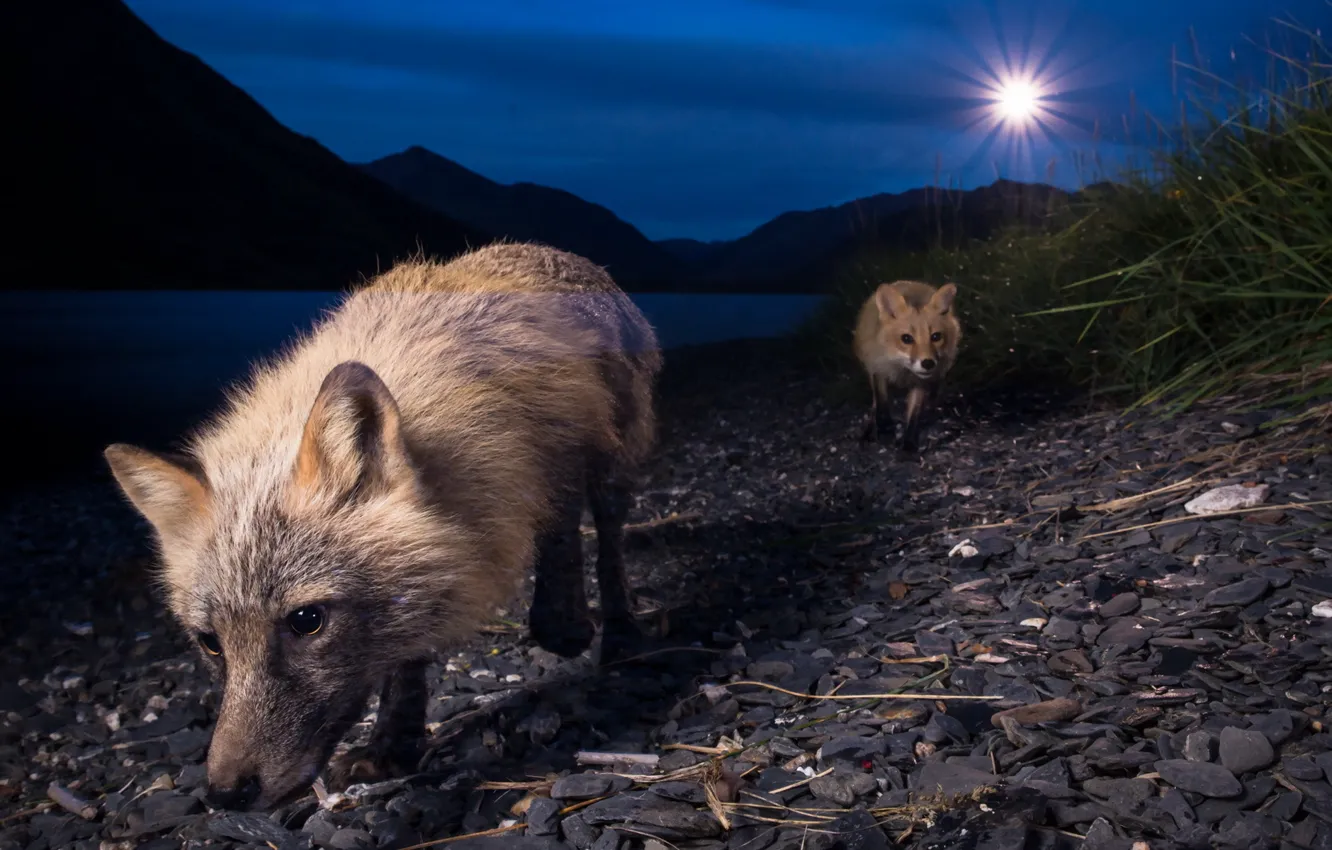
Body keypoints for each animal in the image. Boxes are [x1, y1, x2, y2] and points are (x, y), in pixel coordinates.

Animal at [102, 242, 662, 813]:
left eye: (306, 620)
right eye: (210, 642)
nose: (226, 795)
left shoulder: (564, 437)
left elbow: (560, 536)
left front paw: (567, 626)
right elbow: (405, 649)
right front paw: (392, 743)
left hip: (617, 465)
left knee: (609, 545)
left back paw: (620, 633)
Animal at [852, 279, 960, 452]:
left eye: (936, 336)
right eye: (906, 339)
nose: (928, 363)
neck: (902, 371)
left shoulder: (920, 382)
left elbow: (914, 415)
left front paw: (908, 445)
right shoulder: (878, 369)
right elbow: (881, 403)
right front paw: (884, 427)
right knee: (874, 403)